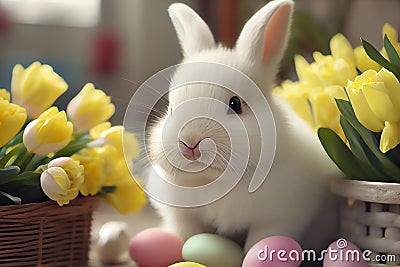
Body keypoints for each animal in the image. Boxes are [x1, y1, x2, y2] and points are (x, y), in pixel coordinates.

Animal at [147, 0, 340, 253]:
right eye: (170, 108)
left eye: (235, 104)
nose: (189, 143)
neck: (216, 181)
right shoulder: (182, 217)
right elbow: (187, 235)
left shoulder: (278, 219)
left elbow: (260, 243)